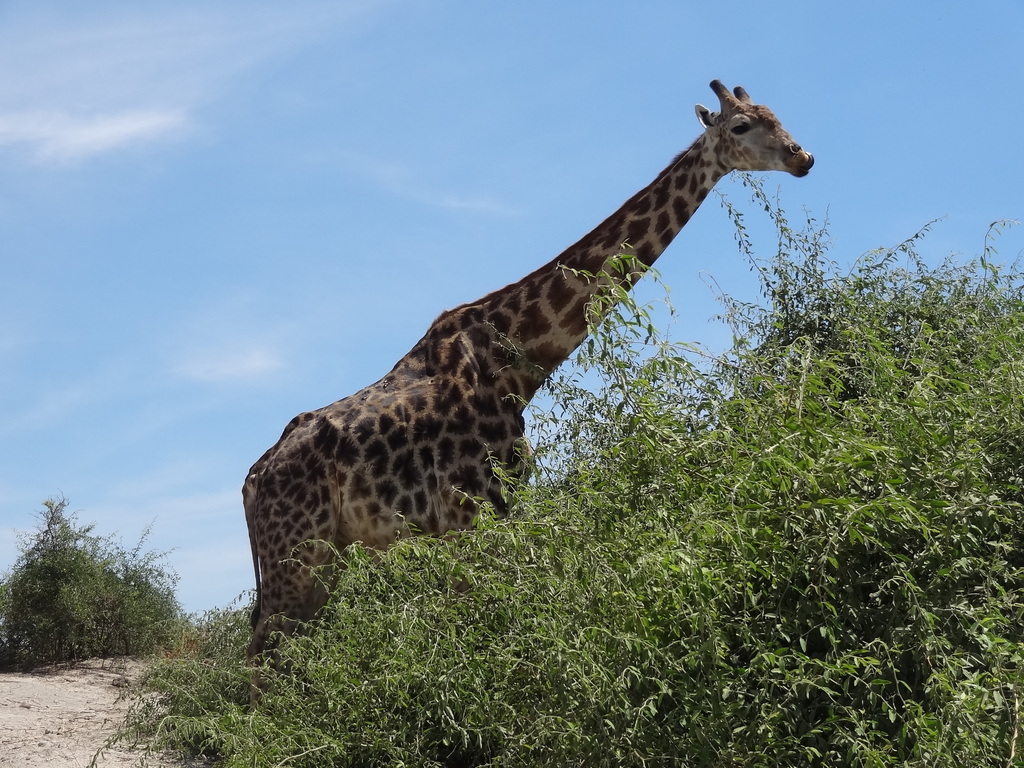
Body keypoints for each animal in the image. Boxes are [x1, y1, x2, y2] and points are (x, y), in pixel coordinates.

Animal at [244, 79, 813, 679]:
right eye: (741, 126)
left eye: (777, 116)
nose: (803, 158)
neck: (518, 361)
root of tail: (251, 482)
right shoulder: (474, 509)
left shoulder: (494, 507)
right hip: (297, 559)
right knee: (259, 663)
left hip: (324, 559)